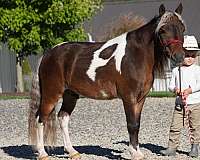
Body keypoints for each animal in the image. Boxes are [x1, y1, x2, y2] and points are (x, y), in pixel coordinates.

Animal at [28, 2, 186, 160]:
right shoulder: (129, 97)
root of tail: (48, 54)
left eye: (182, 29)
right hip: (51, 94)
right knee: (40, 118)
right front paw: (134, 153)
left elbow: (137, 124)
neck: (134, 56)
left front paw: (138, 152)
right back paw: (42, 153)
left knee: (63, 118)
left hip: (70, 94)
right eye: (163, 30)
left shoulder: (141, 99)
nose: (179, 56)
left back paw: (72, 152)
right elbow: (132, 124)